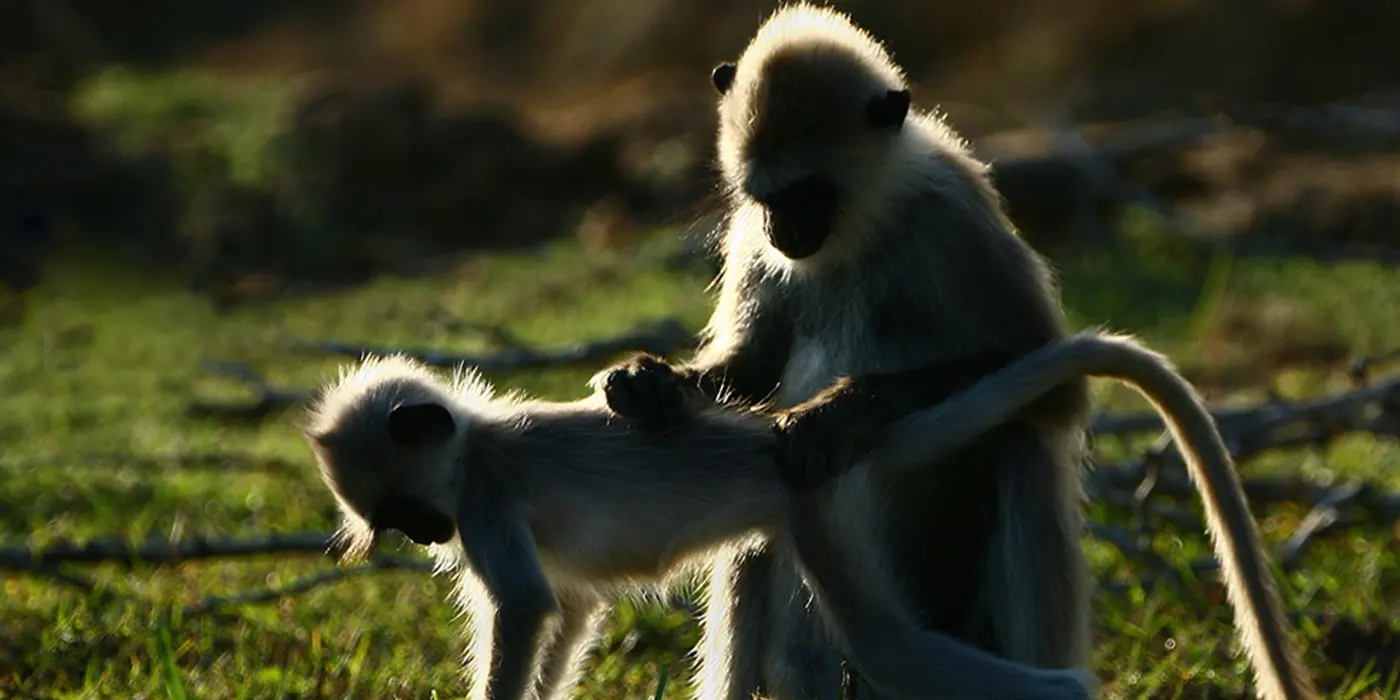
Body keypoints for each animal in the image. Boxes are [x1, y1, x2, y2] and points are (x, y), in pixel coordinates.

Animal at [303, 355, 1092, 700]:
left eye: (406, 513)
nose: (426, 536)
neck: (474, 446)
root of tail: (779, 437)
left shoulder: (485, 500)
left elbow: (526, 606)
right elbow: (571, 605)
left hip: (815, 508)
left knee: (883, 646)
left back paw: (1071, 689)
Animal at [596, 2, 1316, 697]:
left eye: (809, 195)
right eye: (766, 197)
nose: (783, 230)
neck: (862, 226)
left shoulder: (955, 215)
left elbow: (1056, 391)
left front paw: (840, 412)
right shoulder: (752, 238)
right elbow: (751, 370)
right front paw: (651, 385)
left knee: (1020, 441)